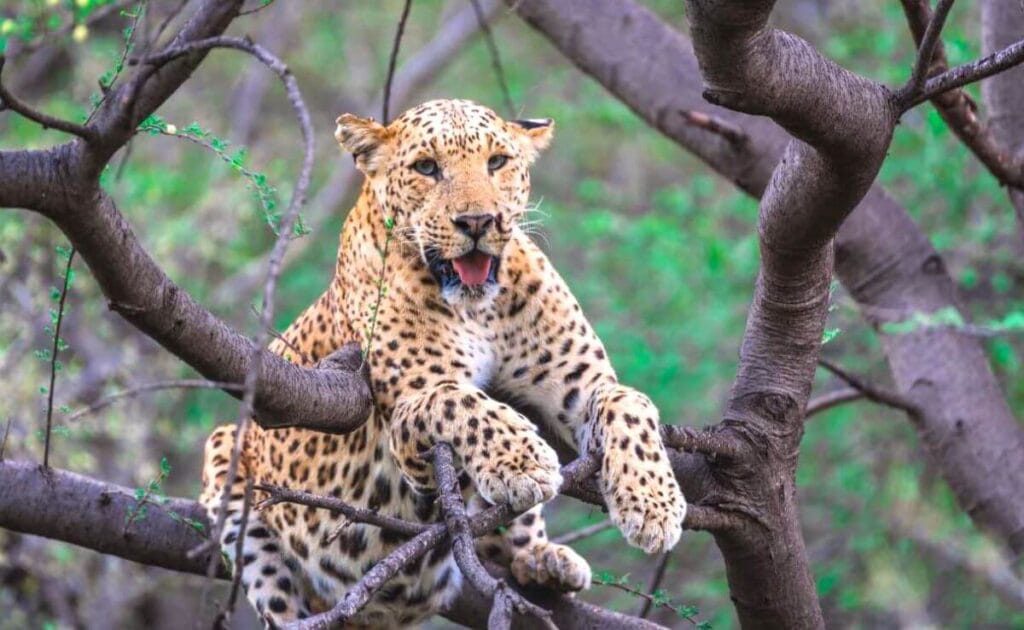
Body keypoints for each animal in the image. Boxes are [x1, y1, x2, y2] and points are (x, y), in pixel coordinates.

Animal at [195, 98, 684, 630]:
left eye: (497, 162)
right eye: (427, 168)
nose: (477, 221)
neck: (480, 309)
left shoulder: (583, 385)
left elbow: (631, 403)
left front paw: (654, 506)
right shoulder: (410, 423)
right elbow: (463, 401)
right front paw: (525, 461)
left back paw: (544, 559)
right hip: (229, 453)